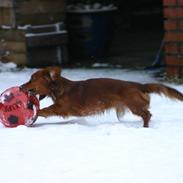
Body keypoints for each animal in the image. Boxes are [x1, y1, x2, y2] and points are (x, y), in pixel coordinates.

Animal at [20, 67, 183, 127]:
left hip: (134, 105)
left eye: (32, 79)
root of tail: (139, 85)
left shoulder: (61, 108)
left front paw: (34, 113)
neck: (60, 88)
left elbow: (45, 110)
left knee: (147, 114)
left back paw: (145, 127)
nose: (21, 87)